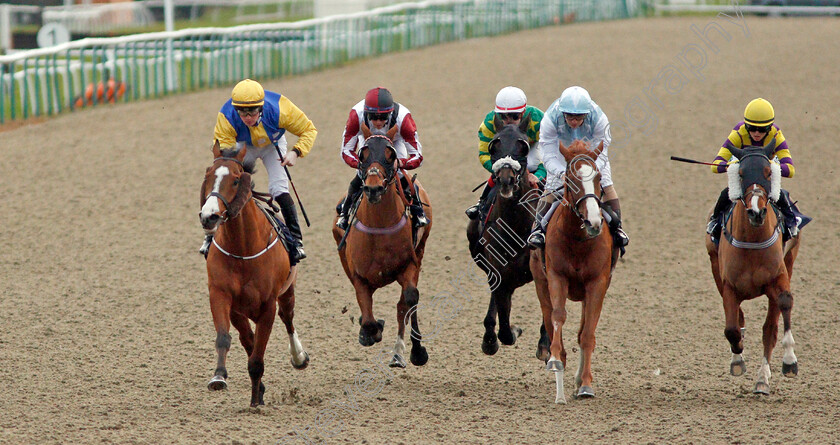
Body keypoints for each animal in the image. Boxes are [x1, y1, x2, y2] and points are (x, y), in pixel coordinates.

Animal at [200, 141, 312, 406]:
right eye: (208, 176)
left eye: (235, 180)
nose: (209, 216)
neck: (242, 249)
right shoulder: (221, 296)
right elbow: (227, 338)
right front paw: (219, 377)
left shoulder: (267, 305)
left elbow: (258, 353)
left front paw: (255, 401)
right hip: (241, 310)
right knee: (247, 339)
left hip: (287, 292)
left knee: (288, 319)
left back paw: (298, 356)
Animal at [332, 132, 434, 368]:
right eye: (363, 155)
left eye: (391, 156)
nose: (373, 188)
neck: (379, 227)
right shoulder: (359, 276)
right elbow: (368, 318)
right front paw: (370, 331)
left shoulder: (409, 265)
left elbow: (410, 298)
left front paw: (418, 351)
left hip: (421, 250)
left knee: (404, 303)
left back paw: (398, 353)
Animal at [462, 115, 548, 358]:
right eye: (494, 145)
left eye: (523, 145)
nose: (506, 179)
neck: (516, 225)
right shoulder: (499, 272)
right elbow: (504, 330)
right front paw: (504, 334)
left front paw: (544, 344)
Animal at [528, 139, 620, 402]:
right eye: (571, 178)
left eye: (597, 176)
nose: (594, 222)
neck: (579, 241)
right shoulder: (556, 277)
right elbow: (558, 316)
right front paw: (555, 360)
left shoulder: (597, 283)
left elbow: (587, 334)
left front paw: (585, 384)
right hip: (540, 283)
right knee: (549, 319)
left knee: (582, 330)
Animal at [704, 140, 800, 394]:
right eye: (740, 173)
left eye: (768, 172)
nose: (757, 212)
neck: (753, 241)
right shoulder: (728, 285)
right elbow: (731, 328)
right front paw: (737, 356)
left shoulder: (778, 276)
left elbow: (783, 305)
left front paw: (790, 361)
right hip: (714, 264)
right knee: (739, 319)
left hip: (790, 260)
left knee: (770, 329)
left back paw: (762, 379)